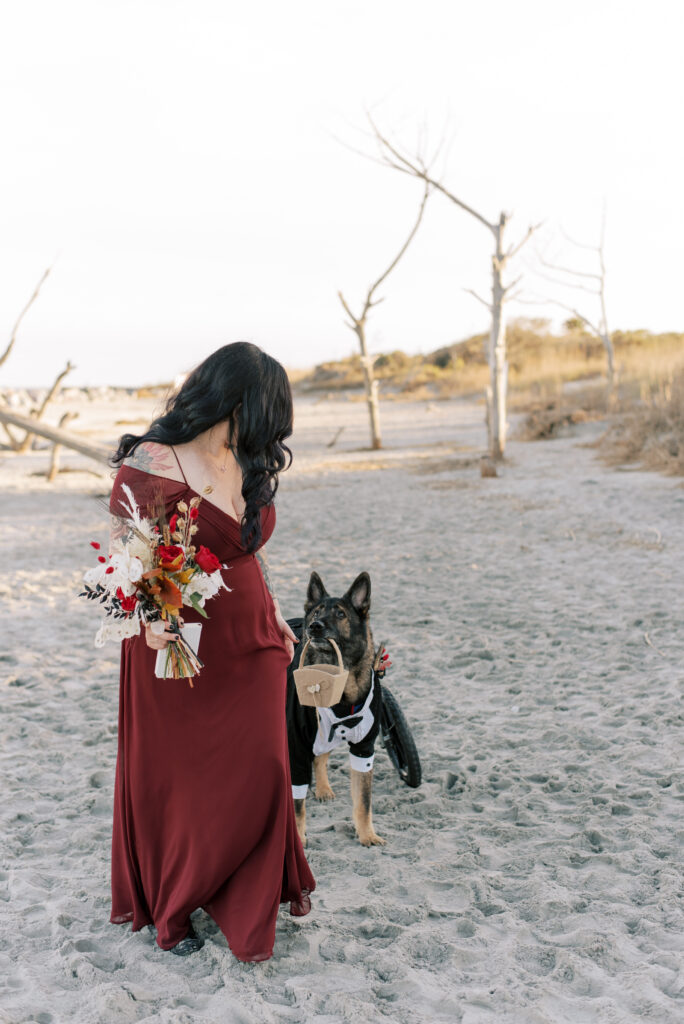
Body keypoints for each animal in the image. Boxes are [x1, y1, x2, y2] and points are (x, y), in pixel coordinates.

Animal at [284, 569, 385, 847]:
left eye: (341, 614)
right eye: (317, 612)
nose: (314, 626)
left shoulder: (364, 749)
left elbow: (364, 801)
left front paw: (367, 834)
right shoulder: (295, 746)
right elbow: (297, 805)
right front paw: (298, 840)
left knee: (320, 756)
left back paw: (323, 788)